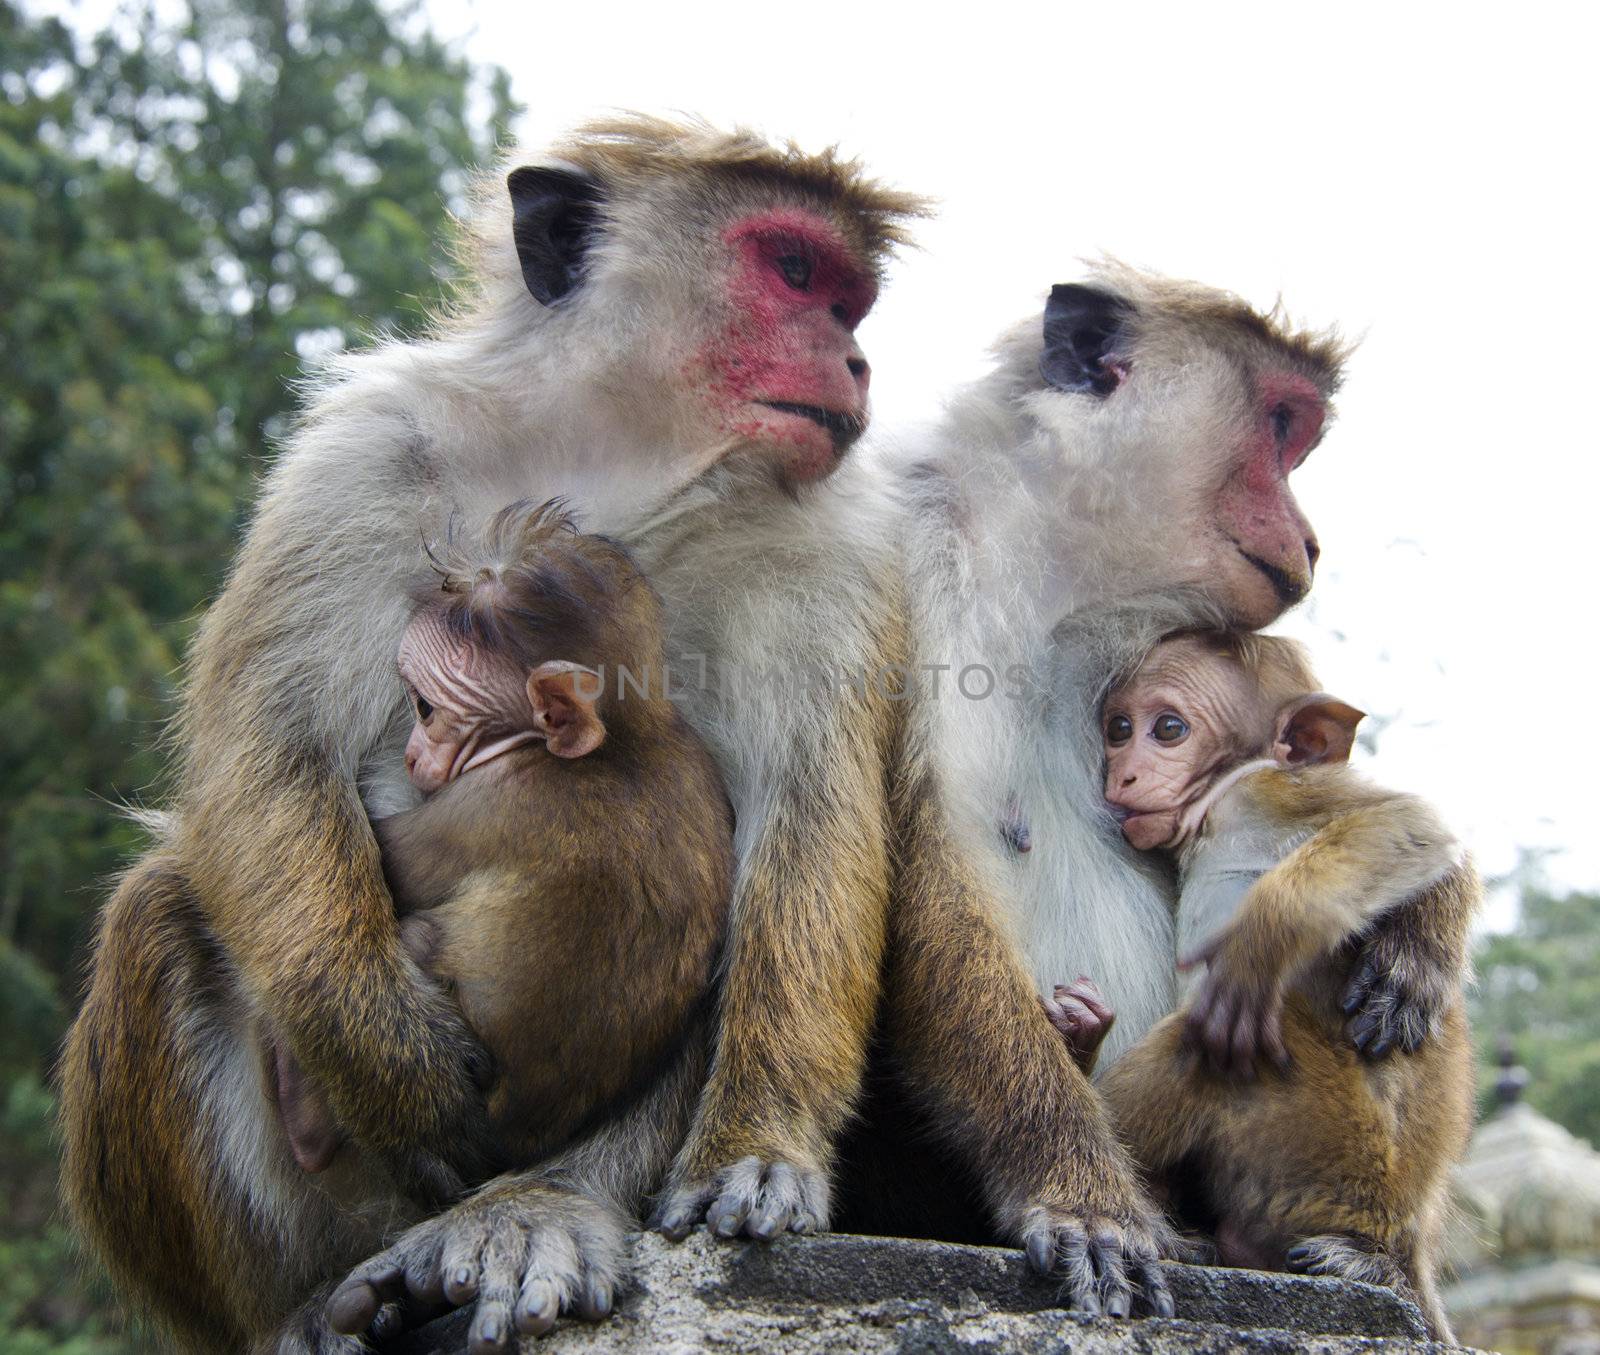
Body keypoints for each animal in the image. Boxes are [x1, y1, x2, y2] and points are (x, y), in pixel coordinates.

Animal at [273, 502, 732, 1183]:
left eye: (425, 708)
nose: (411, 754)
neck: (620, 741)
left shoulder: (485, 808)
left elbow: (389, 861)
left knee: (415, 939)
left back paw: (302, 1114)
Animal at [1062, 630, 1472, 1343]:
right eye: (1118, 729)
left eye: (1168, 729)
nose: (1122, 773)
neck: (1206, 818)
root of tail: (1404, 1239)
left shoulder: (1266, 791)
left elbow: (1410, 824)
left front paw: (1261, 940)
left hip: (1326, 1147)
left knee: (1203, 1041)